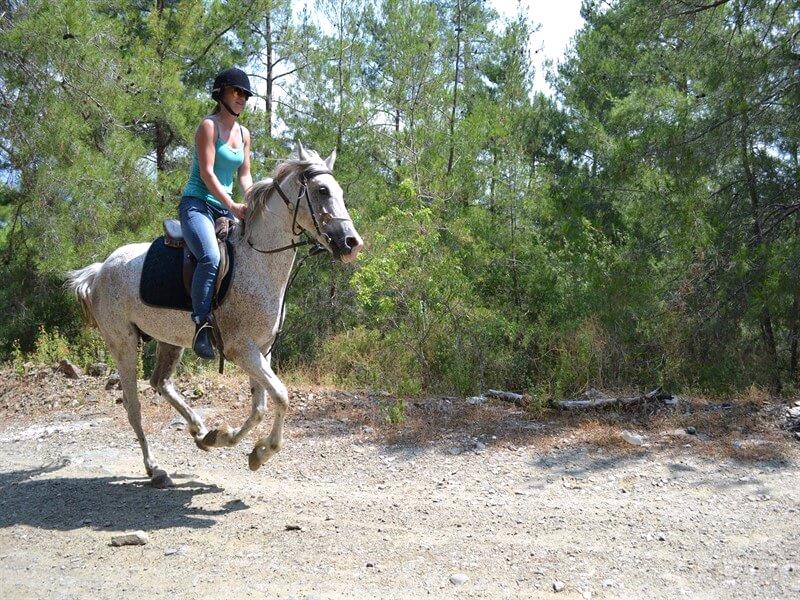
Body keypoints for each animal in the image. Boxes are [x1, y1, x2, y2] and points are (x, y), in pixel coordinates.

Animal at [65, 142, 363, 487]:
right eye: (322, 190)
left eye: (339, 192)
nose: (352, 243)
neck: (257, 260)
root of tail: (100, 270)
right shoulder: (241, 350)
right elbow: (281, 395)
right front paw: (258, 449)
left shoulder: (261, 350)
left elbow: (260, 406)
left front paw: (233, 443)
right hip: (123, 343)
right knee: (134, 406)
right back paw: (154, 468)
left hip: (171, 340)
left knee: (160, 383)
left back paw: (199, 429)